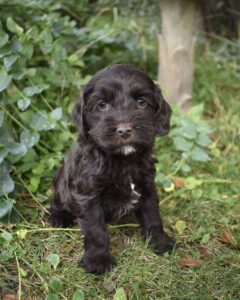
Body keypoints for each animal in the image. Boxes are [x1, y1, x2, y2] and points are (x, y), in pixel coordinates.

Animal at [50, 63, 174, 274]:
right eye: (102, 105)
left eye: (141, 102)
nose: (124, 130)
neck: (123, 160)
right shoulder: (88, 197)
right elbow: (95, 230)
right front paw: (97, 260)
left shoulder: (147, 186)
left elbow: (152, 216)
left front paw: (159, 241)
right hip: (61, 181)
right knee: (57, 201)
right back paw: (58, 217)